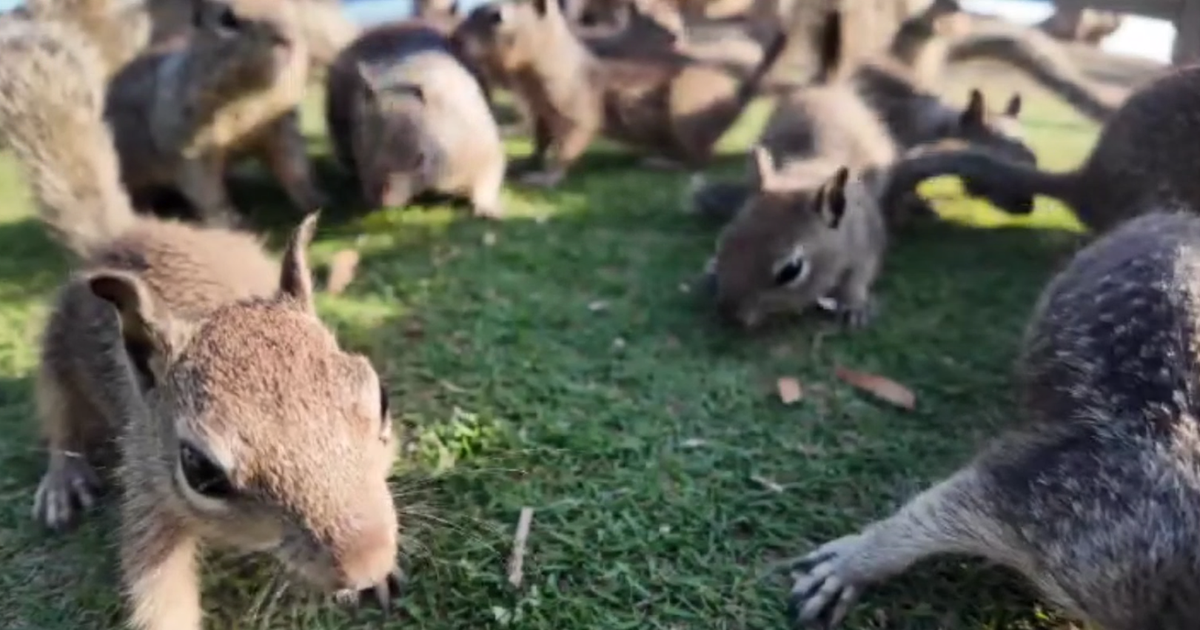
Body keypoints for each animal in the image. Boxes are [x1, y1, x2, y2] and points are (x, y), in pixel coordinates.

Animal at [104, 0, 324, 229]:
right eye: (227, 19)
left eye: (291, 10)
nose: (287, 39)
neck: (252, 98)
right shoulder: (191, 147)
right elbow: (207, 190)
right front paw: (233, 222)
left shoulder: (283, 127)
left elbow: (294, 165)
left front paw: (316, 199)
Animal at [325, 19, 508, 217]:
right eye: (362, 153)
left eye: (420, 159)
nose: (382, 202)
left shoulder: (481, 145)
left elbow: (488, 177)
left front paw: (489, 210)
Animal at [452, 0, 789, 188]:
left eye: (496, 17)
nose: (454, 39)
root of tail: (736, 99)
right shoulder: (541, 112)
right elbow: (541, 140)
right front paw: (527, 162)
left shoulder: (574, 108)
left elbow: (570, 142)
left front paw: (546, 178)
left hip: (686, 114)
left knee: (700, 160)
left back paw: (662, 163)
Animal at [703, 146, 888, 329]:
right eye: (723, 242)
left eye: (791, 270)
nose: (728, 311)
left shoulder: (865, 244)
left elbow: (857, 277)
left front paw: (853, 304)